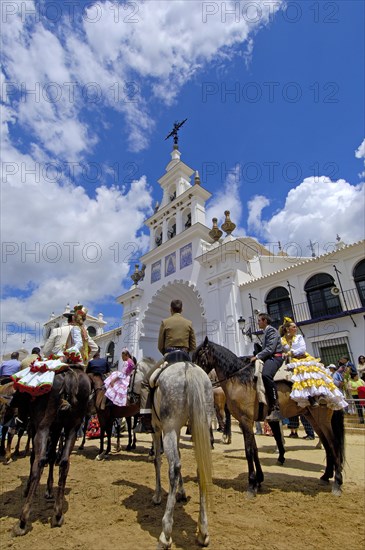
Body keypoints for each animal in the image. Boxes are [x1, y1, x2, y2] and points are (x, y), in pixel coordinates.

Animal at [13, 368, 90, 536]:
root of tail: (69, 375)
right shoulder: (56, 429)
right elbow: (53, 455)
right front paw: (48, 489)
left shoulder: (36, 427)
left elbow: (35, 458)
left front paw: (28, 488)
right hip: (72, 427)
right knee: (64, 462)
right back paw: (58, 514)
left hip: (44, 425)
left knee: (39, 461)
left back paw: (22, 521)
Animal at [193, 340, 344, 500]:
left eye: (199, 356)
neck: (239, 379)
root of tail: (330, 380)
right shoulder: (244, 422)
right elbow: (254, 449)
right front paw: (258, 480)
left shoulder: (246, 420)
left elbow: (249, 451)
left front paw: (251, 485)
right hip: (313, 418)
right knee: (327, 445)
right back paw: (326, 476)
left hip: (322, 418)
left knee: (334, 444)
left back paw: (337, 483)